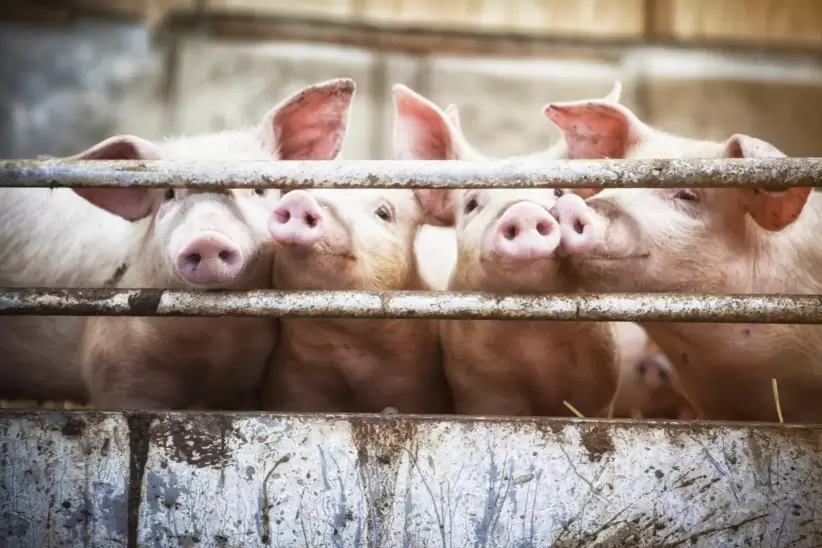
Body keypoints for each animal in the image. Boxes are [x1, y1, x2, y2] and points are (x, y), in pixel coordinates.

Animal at [392, 83, 621, 417]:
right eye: (472, 203)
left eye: (558, 191)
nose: (523, 211)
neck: (532, 337)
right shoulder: (479, 388)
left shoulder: (601, 385)